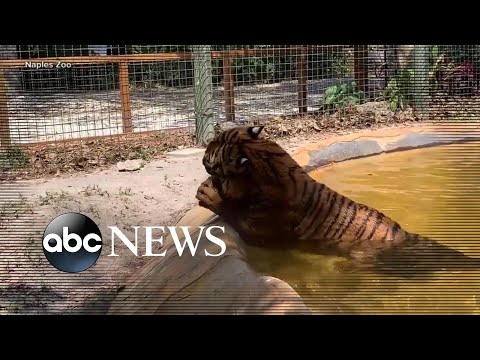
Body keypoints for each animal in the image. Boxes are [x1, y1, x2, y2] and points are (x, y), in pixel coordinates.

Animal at [195, 125, 480, 274]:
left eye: (216, 144)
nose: (203, 151)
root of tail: (404, 235)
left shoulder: (258, 228)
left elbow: (231, 209)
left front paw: (207, 192)